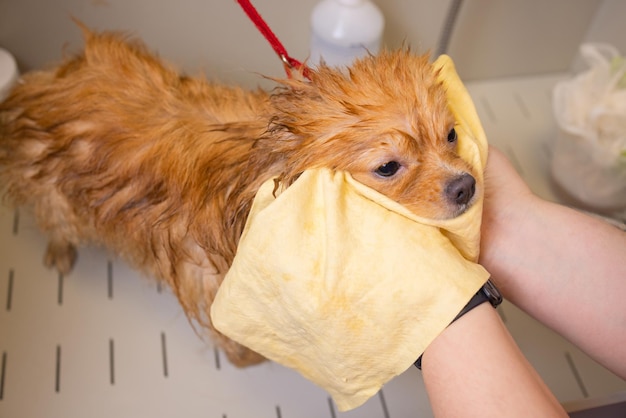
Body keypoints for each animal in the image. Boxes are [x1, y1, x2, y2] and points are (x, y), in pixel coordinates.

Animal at [0, 25, 476, 366]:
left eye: (451, 135)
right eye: (388, 167)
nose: (466, 186)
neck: (262, 171)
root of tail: (49, 78)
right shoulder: (210, 281)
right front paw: (246, 357)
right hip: (52, 188)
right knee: (56, 219)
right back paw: (60, 250)